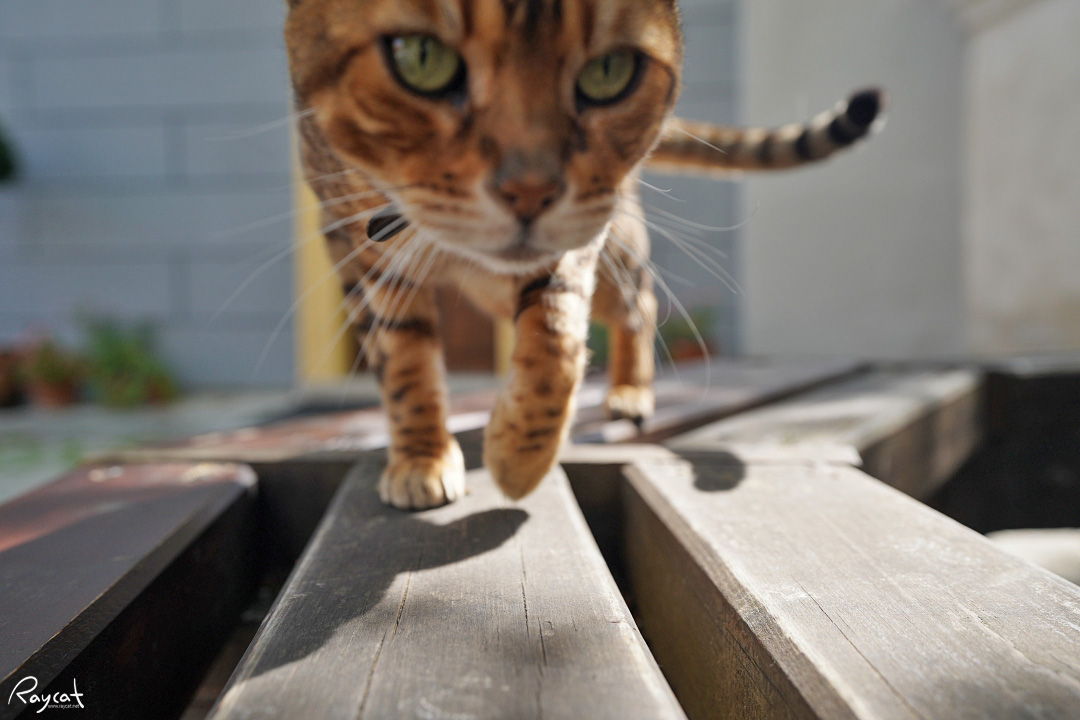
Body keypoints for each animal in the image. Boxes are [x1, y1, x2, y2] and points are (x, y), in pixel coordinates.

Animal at [283, 0, 884, 509]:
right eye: (420, 58)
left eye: (609, 72)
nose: (530, 190)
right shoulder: (370, 260)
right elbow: (406, 366)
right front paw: (422, 459)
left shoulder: (575, 236)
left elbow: (555, 344)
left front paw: (518, 457)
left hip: (616, 243)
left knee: (640, 306)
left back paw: (629, 392)